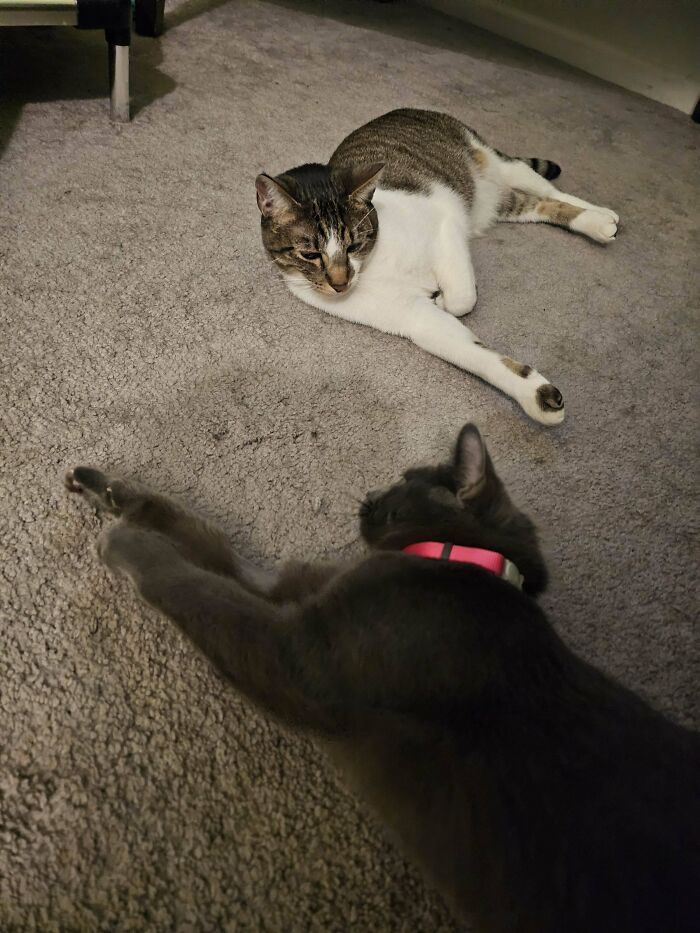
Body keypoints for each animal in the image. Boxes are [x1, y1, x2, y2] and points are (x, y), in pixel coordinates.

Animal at [256, 109, 616, 426]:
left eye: (355, 244)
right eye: (310, 255)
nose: (340, 284)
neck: (373, 266)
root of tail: (401, 110)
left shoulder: (445, 224)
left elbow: (462, 298)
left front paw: (443, 296)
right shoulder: (416, 319)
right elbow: (475, 353)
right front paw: (534, 394)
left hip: (495, 161)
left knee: (550, 190)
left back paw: (602, 217)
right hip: (501, 203)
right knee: (538, 204)